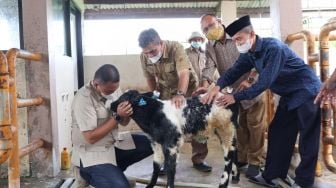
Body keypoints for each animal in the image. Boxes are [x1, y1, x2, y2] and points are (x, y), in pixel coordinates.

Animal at [110, 90, 239, 187]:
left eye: (122, 98)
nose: (111, 104)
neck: (154, 113)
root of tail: (227, 95)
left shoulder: (171, 144)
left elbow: (170, 169)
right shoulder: (156, 143)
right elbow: (156, 166)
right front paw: (149, 186)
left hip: (227, 131)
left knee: (229, 158)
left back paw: (223, 183)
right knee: (235, 151)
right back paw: (235, 177)